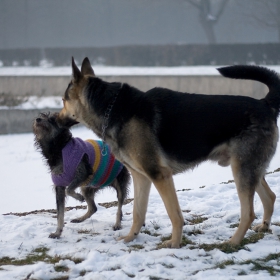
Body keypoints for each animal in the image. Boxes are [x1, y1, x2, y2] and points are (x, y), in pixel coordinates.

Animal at [57, 56, 280, 247]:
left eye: (63, 100)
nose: (55, 119)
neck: (110, 108)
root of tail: (265, 104)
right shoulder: (141, 177)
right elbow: (138, 212)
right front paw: (130, 237)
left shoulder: (160, 176)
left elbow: (174, 214)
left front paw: (174, 243)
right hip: (249, 170)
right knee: (269, 197)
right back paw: (263, 227)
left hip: (242, 171)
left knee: (249, 212)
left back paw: (233, 242)